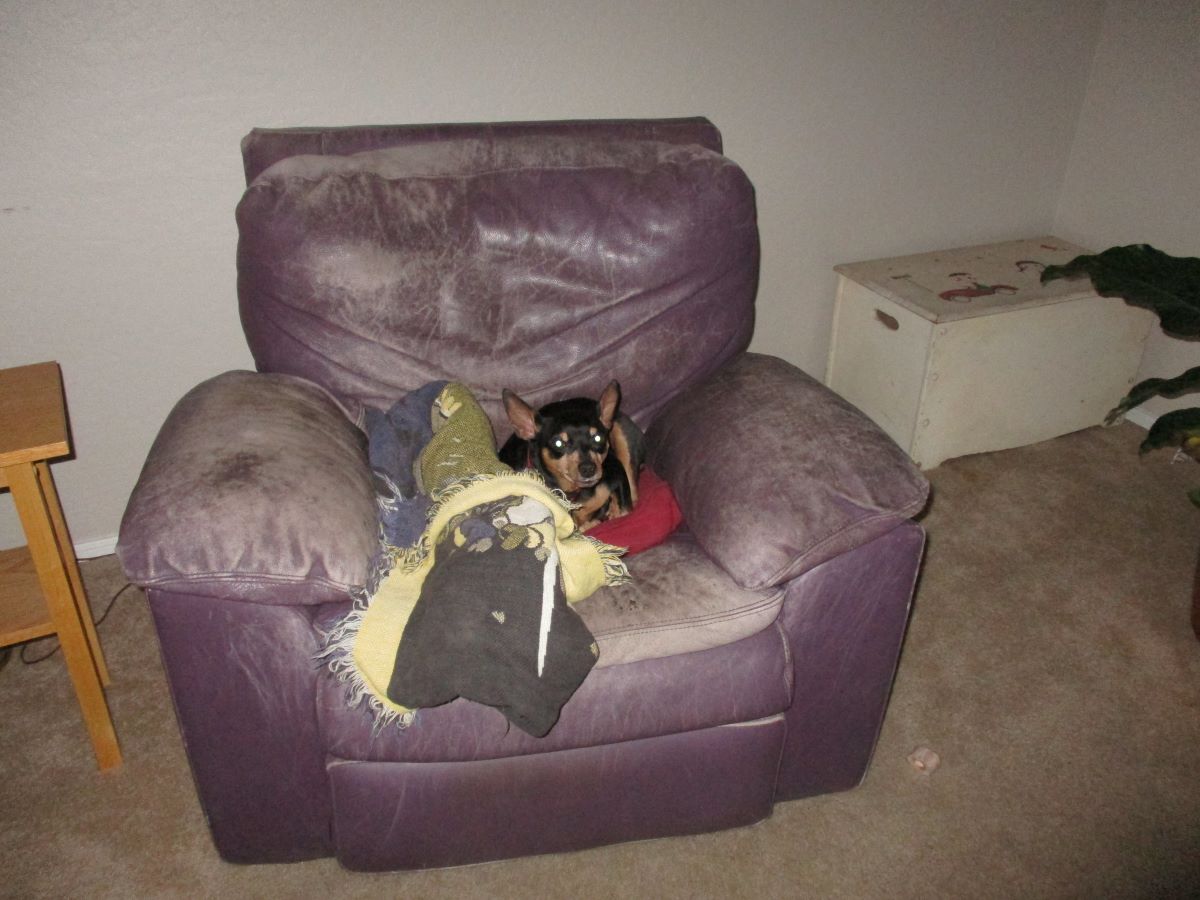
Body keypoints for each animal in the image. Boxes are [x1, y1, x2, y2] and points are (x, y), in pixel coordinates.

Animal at [498, 380, 644, 531]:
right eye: (558, 443)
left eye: (598, 438)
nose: (588, 469)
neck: (571, 493)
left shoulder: (617, 473)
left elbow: (622, 509)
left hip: (622, 437)